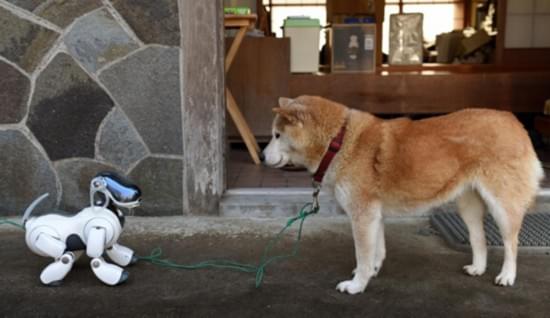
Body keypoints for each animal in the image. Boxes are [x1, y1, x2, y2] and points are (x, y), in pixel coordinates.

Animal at [262, 95, 544, 294]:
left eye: (277, 135)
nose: (262, 157)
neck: (338, 141)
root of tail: (514, 121)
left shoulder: (362, 215)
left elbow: (363, 254)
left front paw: (356, 285)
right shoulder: (373, 215)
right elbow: (376, 251)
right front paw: (372, 272)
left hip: (502, 207)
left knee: (511, 243)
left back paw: (507, 276)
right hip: (468, 206)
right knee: (479, 238)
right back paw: (478, 268)